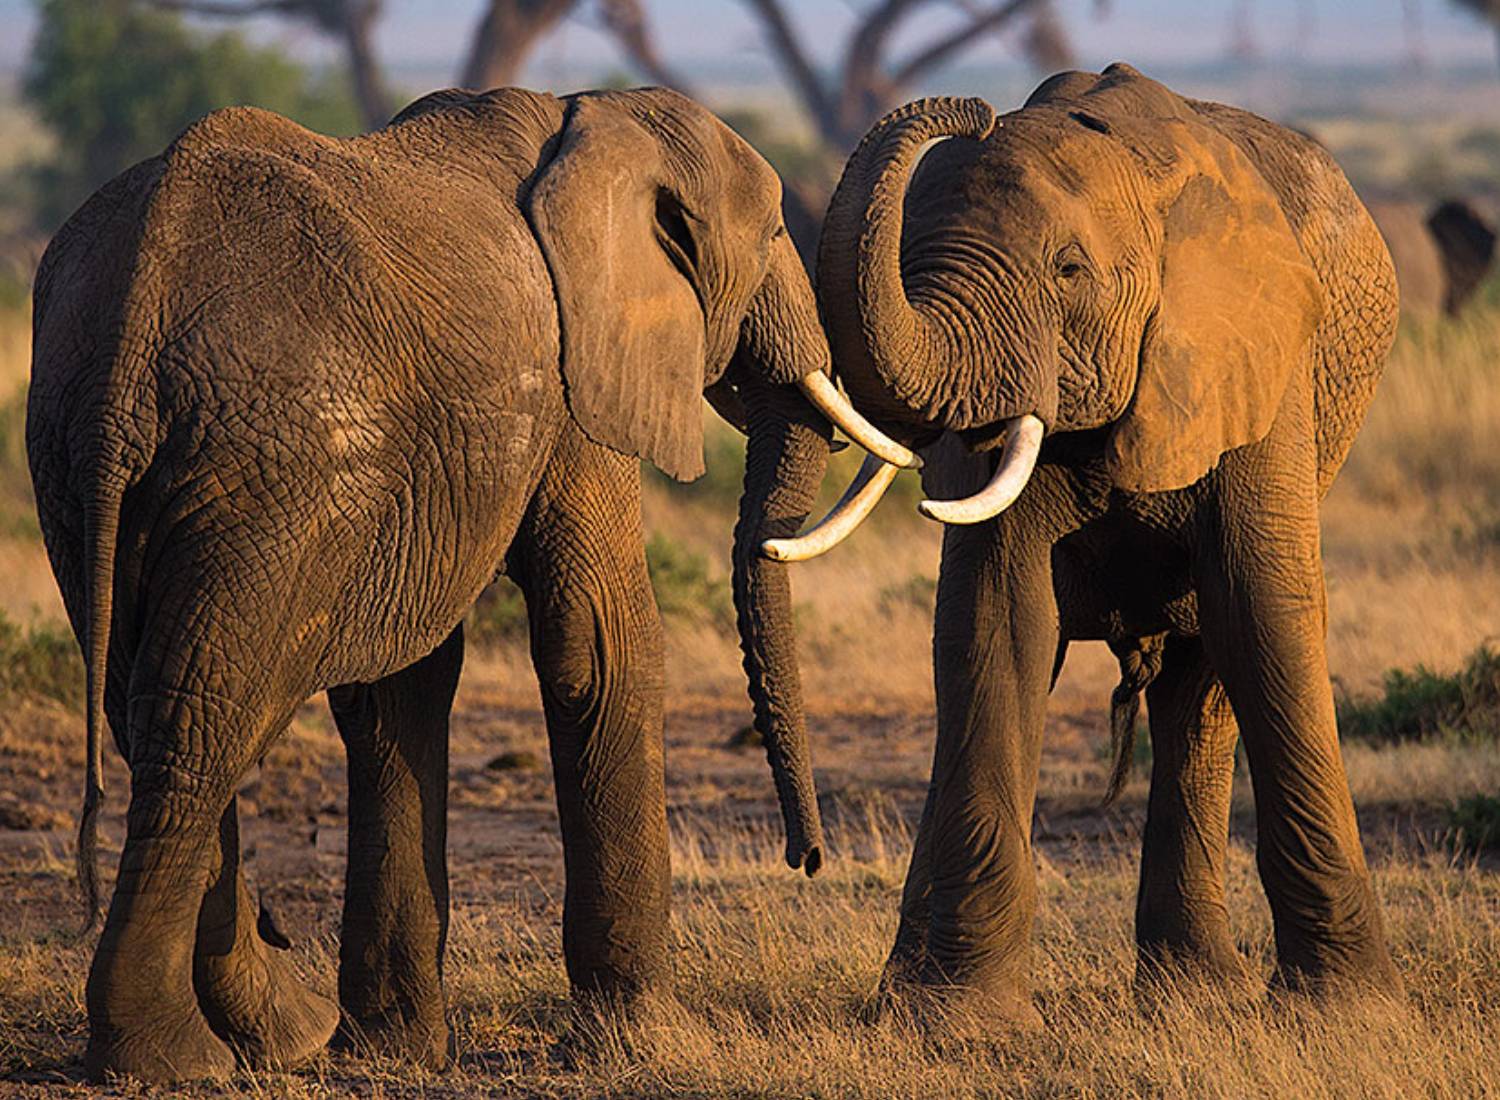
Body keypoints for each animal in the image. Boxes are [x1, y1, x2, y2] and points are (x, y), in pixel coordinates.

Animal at [28, 84, 849, 1083]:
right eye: (775, 232)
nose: (807, 858)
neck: (592, 117)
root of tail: (141, 298)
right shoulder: (573, 375)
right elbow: (598, 642)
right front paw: (645, 1041)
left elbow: (399, 687)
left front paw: (396, 1051)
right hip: (277, 464)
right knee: (206, 726)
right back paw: (177, 1060)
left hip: (87, 457)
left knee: (151, 705)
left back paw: (280, 1036)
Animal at [756, 64, 1405, 1021]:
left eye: (1068, 271)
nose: (968, 110)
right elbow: (997, 620)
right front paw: (961, 1023)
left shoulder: (1255, 366)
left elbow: (1265, 614)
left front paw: (1347, 1012)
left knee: (1199, 681)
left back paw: (1192, 997)